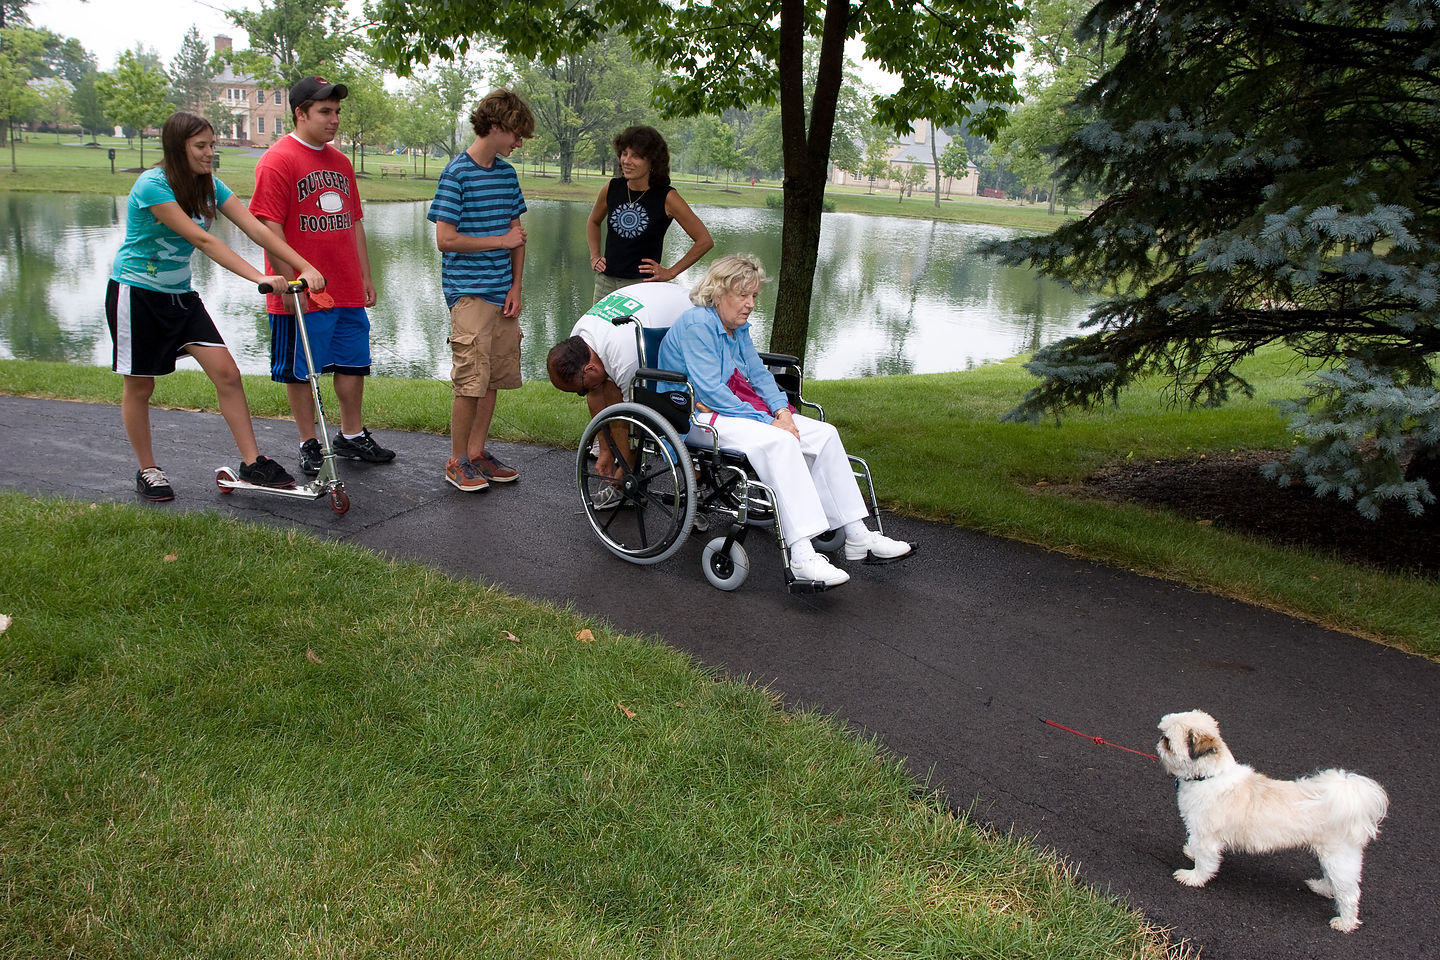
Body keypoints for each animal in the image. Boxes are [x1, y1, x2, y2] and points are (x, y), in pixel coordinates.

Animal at [1157, 713, 1382, 932]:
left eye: (1168, 741)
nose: (1158, 741)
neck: (1208, 777)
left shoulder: (1206, 838)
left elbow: (1205, 863)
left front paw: (1193, 877)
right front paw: (1191, 852)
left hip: (1339, 859)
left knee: (1349, 893)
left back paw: (1345, 922)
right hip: (1329, 855)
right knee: (1332, 878)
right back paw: (1322, 887)